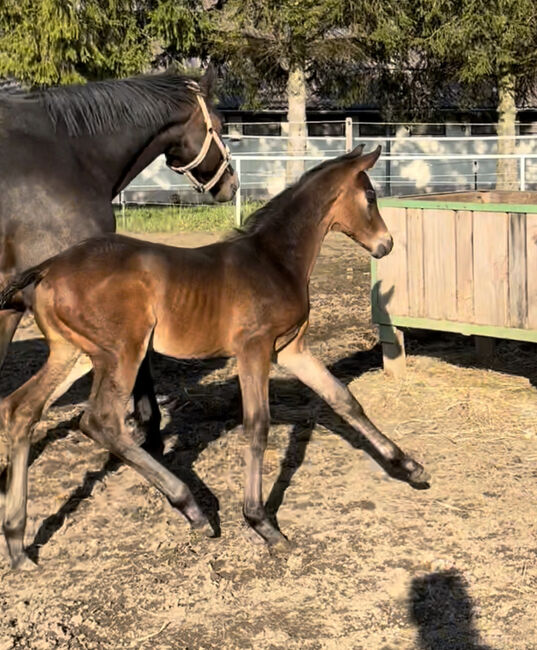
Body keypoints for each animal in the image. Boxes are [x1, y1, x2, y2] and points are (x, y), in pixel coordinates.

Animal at [0, 146, 430, 568]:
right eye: (371, 196)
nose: (386, 244)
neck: (275, 260)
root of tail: (48, 266)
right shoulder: (254, 349)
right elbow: (257, 424)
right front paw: (261, 523)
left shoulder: (291, 349)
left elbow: (343, 398)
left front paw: (409, 467)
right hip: (122, 351)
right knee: (99, 421)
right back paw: (192, 508)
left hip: (73, 353)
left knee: (21, 409)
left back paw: (18, 544)